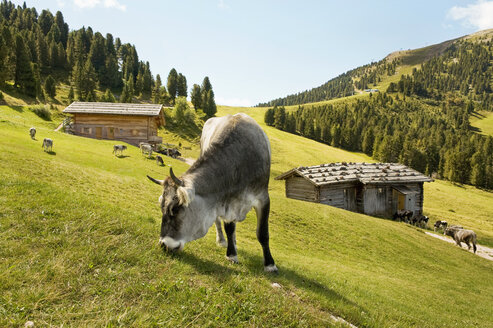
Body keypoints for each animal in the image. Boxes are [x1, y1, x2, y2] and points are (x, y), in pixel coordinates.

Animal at [146, 113, 276, 272]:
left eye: (175, 209)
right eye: (162, 207)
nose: (163, 245)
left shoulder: (263, 198)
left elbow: (263, 233)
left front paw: (270, 264)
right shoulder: (225, 200)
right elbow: (229, 227)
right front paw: (232, 255)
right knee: (218, 222)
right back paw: (222, 241)